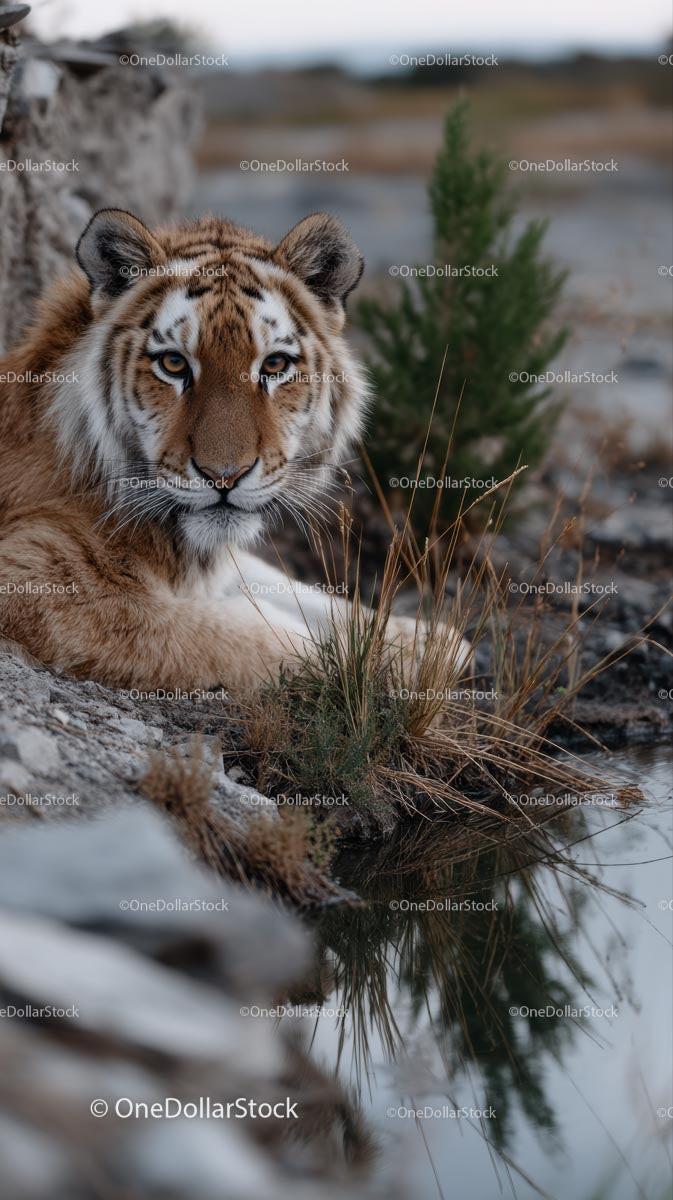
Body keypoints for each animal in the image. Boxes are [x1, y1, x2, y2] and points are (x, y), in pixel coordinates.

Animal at [0, 207, 468, 691]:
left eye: (275, 364)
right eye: (173, 363)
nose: (224, 475)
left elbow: (294, 590)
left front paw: (430, 641)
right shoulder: (39, 579)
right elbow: (258, 640)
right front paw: (378, 660)